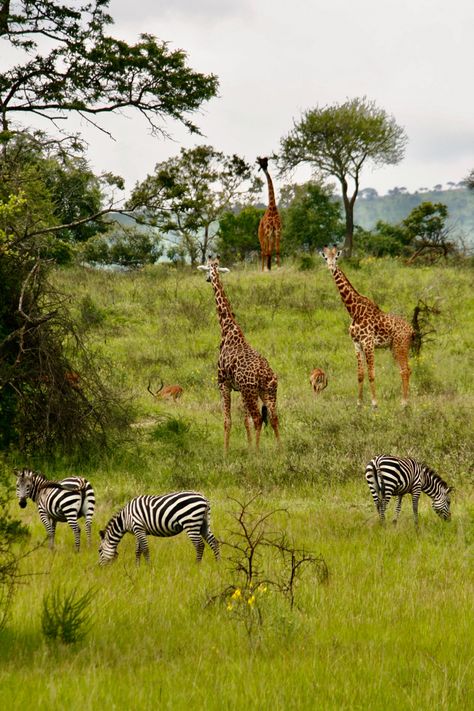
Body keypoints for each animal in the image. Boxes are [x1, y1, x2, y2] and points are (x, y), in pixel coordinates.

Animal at [197, 256, 280, 450]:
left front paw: (226, 452)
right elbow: (244, 421)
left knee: (258, 419)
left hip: (251, 392)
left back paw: (257, 453)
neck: (227, 328)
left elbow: (228, 421)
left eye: (207, 269)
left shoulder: (223, 383)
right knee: (273, 418)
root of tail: (266, 374)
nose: (207, 279)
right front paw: (247, 448)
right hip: (267, 391)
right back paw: (280, 450)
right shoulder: (239, 389)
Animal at [318, 248, 414, 408]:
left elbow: (371, 374)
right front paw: (359, 404)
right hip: (393, 347)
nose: (331, 267)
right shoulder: (357, 344)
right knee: (405, 369)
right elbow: (360, 375)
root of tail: (411, 329)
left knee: (405, 370)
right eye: (326, 258)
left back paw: (404, 403)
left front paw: (374, 403)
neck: (354, 311)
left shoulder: (368, 343)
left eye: (336, 258)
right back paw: (404, 402)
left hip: (401, 345)